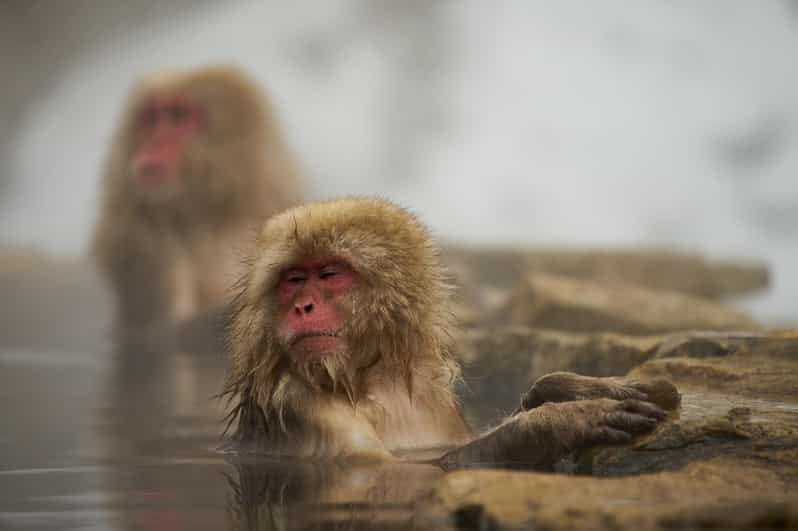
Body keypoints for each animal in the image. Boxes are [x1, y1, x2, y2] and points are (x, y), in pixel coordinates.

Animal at [222, 198, 678, 469]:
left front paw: (567, 389)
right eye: (294, 280)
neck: (372, 381)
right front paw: (558, 422)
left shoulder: (434, 395)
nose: (302, 307)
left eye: (330, 274)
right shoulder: (302, 406)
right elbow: (402, 469)